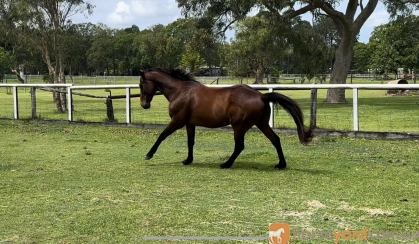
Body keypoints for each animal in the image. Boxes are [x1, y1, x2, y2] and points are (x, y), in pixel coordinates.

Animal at [139, 67, 314, 169]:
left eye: (141, 85)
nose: (144, 105)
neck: (180, 91)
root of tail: (261, 96)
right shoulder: (189, 124)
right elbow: (190, 142)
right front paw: (187, 160)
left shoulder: (177, 121)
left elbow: (161, 136)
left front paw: (148, 154)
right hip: (262, 124)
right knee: (275, 140)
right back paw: (280, 164)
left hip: (239, 127)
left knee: (239, 146)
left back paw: (226, 164)